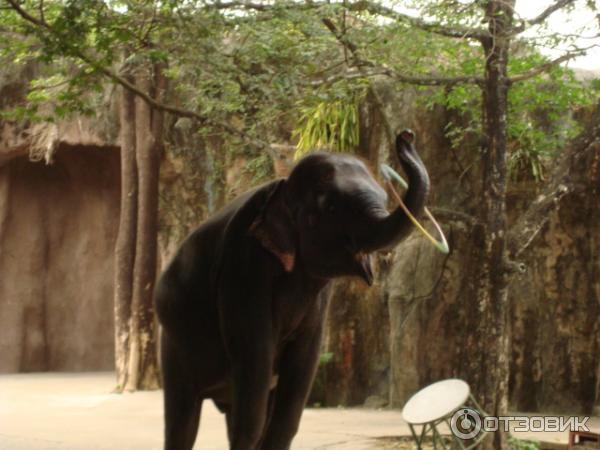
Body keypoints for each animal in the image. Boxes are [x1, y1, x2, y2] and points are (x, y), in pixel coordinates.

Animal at [152, 128, 428, 448]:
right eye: (331, 208)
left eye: (385, 197)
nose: (406, 136)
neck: (280, 189)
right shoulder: (243, 266)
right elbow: (255, 362)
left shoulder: (317, 294)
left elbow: (302, 365)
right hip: (173, 343)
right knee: (183, 418)